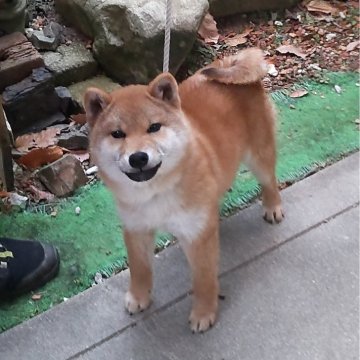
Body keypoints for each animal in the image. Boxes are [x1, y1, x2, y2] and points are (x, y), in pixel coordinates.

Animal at [84, 47, 284, 332]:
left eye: (154, 127)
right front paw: (139, 296)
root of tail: (230, 64)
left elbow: (203, 280)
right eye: (117, 134)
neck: (155, 193)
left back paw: (273, 206)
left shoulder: (197, 237)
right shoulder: (136, 229)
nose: (138, 157)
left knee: (269, 180)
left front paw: (203, 313)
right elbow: (139, 269)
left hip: (259, 156)